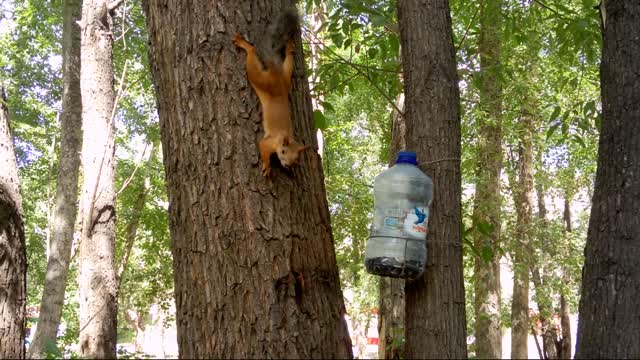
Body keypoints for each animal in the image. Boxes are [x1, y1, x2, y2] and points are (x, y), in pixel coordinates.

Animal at [232, 7, 308, 177]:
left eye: (296, 157)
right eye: (283, 151)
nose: (287, 165)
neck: (283, 138)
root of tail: (275, 72)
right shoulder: (269, 142)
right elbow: (263, 148)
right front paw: (267, 167)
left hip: (286, 77)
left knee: (288, 61)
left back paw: (289, 48)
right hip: (259, 78)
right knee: (252, 52)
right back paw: (243, 44)